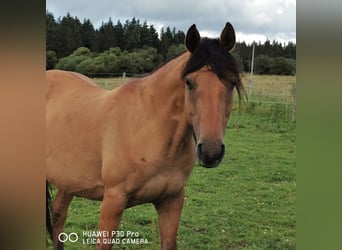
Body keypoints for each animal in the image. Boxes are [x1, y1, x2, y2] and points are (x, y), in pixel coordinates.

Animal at [46, 22, 243, 250]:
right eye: (189, 82)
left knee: (58, 213)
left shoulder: (171, 201)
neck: (150, 128)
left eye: (232, 82)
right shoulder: (113, 200)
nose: (211, 151)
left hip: (68, 180)